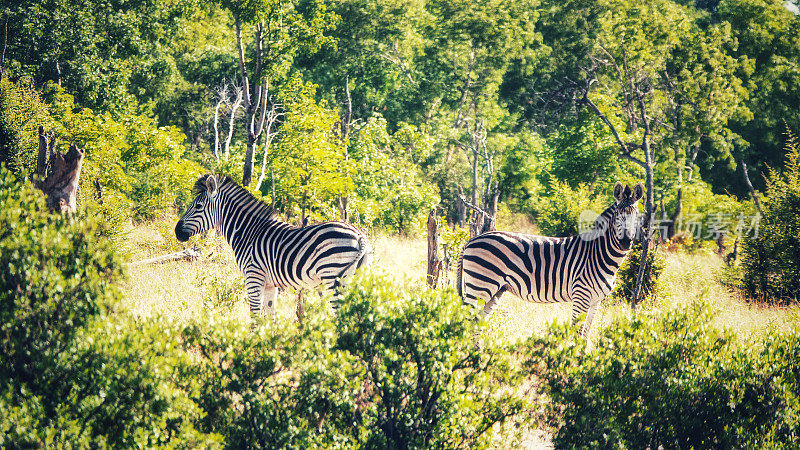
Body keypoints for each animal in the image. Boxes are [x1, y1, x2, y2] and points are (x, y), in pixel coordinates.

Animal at [174, 174, 372, 314]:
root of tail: (359, 235)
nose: (176, 231)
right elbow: (270, 316)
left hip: (333, 278)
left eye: (198, 207)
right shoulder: (270, 284)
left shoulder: (253, 277)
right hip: (357, 278)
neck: (247, 233)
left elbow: (255, 315)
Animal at [456, 181, 644, 336]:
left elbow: (586, 334)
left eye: (637, 216)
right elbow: (578, 334)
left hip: (496, 290)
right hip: (481, 284)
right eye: (618, 215)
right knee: (465, 323)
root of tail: (471, 240)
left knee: (476, 324)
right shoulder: (581, 296)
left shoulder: (596, 301)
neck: (600, 254)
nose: (626, 242)